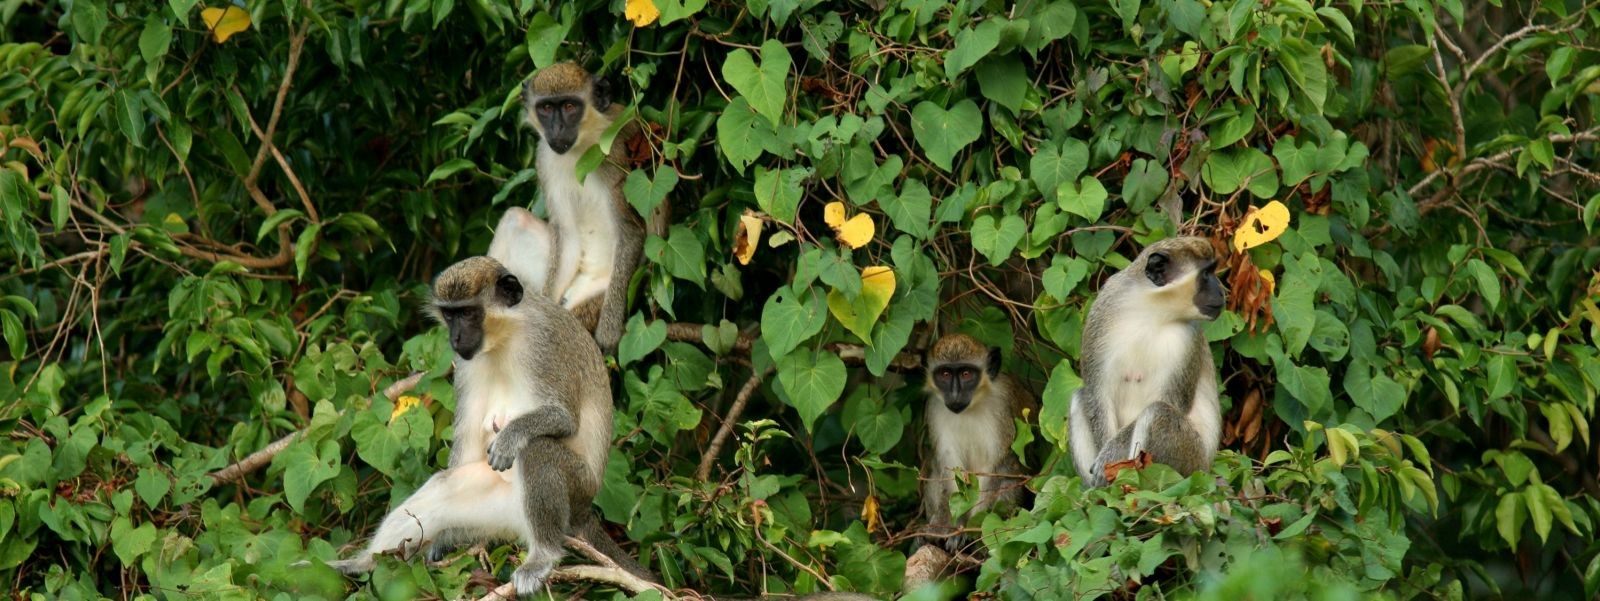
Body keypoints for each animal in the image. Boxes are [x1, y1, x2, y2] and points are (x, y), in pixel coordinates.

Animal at [309, 256, 650, 593]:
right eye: (449, 315)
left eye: (468, 313)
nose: (455, 338)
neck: (506, 337)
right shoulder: (465, 364)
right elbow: (468, 445)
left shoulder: (545, 344)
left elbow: (564, 419)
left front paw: (511, 436)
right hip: (496, 508)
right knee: (443, 486)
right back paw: (359, 565)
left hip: (578, 490)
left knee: (538, 450)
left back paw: (543, 554)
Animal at [488, 62, 668, 355]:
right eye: (546, 108)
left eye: (570, 106)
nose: (557, 128)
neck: (581, 147)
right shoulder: (544, 158)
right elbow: (567, 235)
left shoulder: (612, 154)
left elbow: (631, 231)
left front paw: (608, 333)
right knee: (516, 219)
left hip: (599, 292)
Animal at [920, 333, 1039, 553]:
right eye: (945, 374)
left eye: (966, 374)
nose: (955, 395)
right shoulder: (934, 407)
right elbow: (950, 470)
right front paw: (952, 527)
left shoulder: (1002, 404)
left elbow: (996, 468)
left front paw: (973, 530)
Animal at [1069, 236, 1226, 487]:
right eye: (1206, 274)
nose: (1221, 292)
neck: (1151, 311)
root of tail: (1206, 469)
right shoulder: (1101, 314)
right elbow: (1096, 394)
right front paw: (1106, 459)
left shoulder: (1187, 339)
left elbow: (1169, 401)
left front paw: (1109, 456)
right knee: (1079, 397)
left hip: (1191, 464)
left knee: (1158, 413)